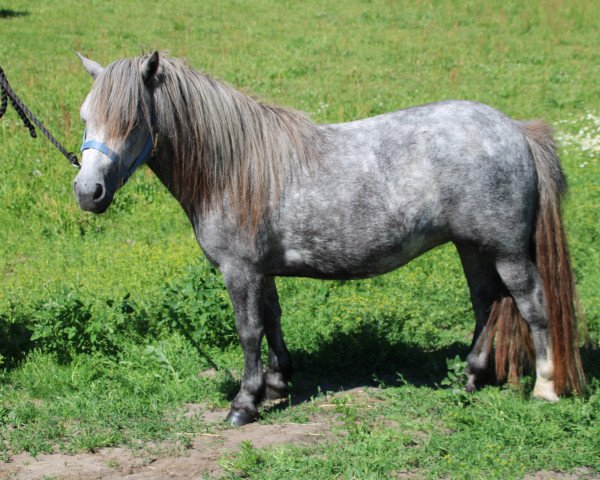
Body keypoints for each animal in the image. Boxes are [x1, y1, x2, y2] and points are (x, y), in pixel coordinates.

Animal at [72, 52, 584, 426]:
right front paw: (278, 382)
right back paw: (470, 377)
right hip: (472, 248)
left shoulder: (240, 270)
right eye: (84, 117)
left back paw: (544, 389)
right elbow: (273, 320)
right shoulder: (262, 271)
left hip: (507, 252)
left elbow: (248, 330)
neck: (234, 169)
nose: (86, 191)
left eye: (132, 120)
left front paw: (244, 402)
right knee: (486, 304)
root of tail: (516, 130)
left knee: (532, 305)